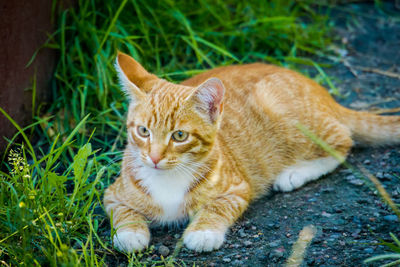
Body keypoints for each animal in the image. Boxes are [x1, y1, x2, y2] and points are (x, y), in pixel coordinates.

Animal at [104, 50, 400, 253]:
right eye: (143, 131)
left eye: (179, 136)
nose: (154, 158)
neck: (168, 178)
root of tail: (323, 94)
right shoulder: (112, 194)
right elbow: (123, 212)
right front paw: (130, 233)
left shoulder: (237, 189)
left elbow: (216, 206)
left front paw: (203, 231)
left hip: (282, 110)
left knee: (342, 141)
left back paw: (294, 173)